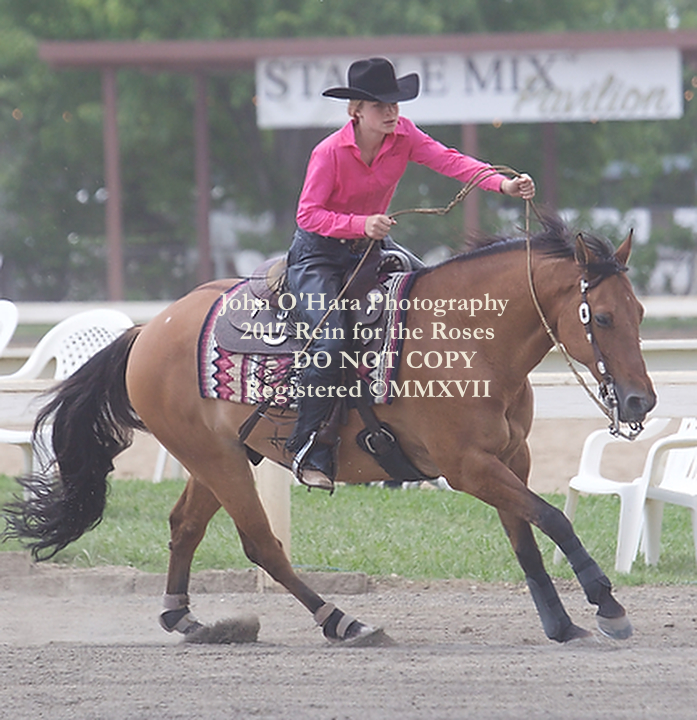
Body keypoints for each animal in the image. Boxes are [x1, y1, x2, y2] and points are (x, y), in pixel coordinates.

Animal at [2, 215, 655, 645]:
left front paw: (560, 623)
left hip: (221, 457)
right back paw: (343, 620)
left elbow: (524, 535)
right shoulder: (468, 468)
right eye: (600, 316)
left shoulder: (510, 460)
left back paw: (184, 617)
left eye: (641, 312)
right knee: (262, 544)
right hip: (217, 460)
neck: (469, 342)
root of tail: (149, 328)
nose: (640, 400)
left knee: (184, 525)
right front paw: (607, 605)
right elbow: (552, 517)